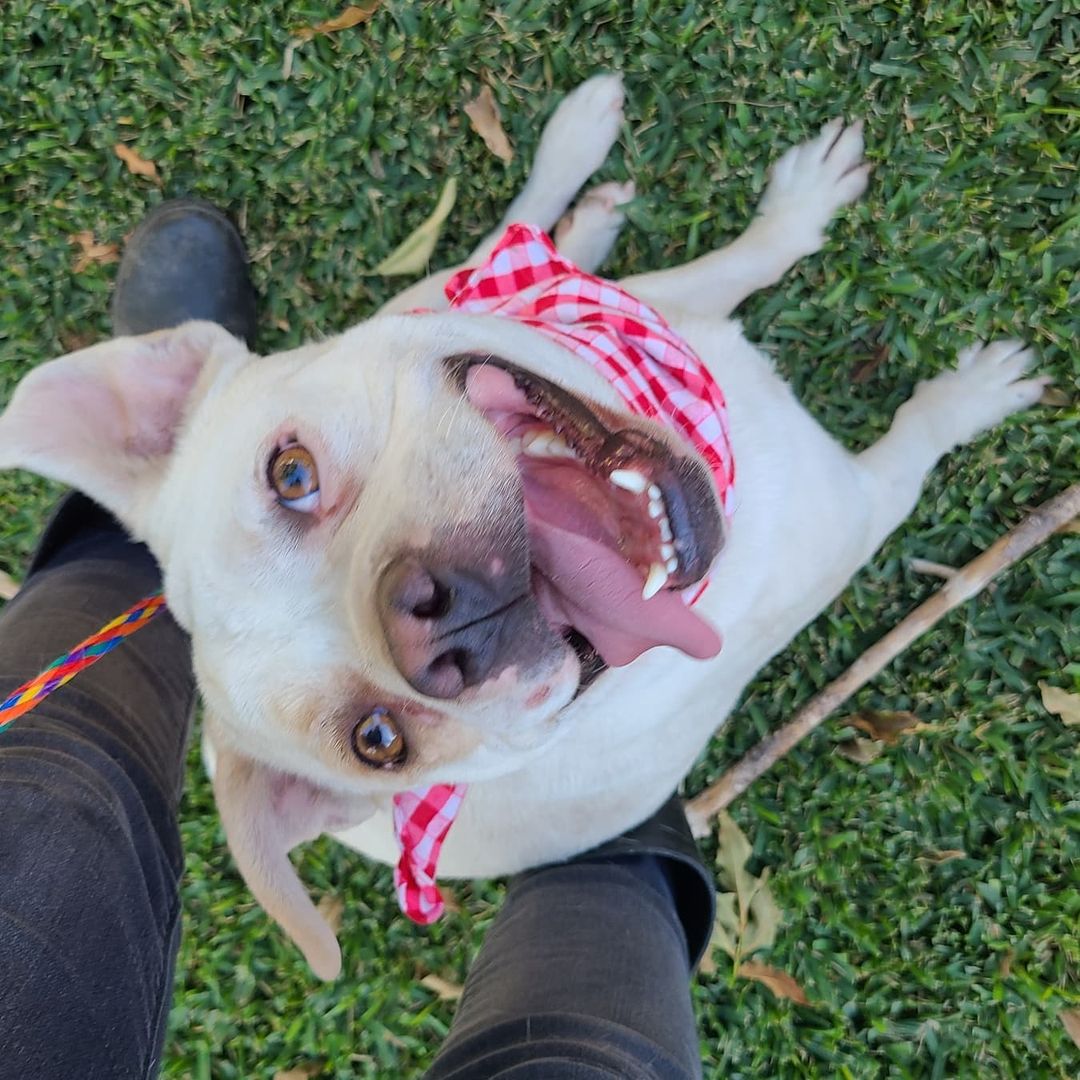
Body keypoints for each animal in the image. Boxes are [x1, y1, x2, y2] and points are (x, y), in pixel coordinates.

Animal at [0, 71, 1045, 976]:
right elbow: (914, 445)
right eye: (377, 741)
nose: (432, 626)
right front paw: (975, 398)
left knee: (507, 238)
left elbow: (743, 256)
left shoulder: (660, 311)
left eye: (289, 473)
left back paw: (580, 184)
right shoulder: (860, 505)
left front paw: (797, 207)